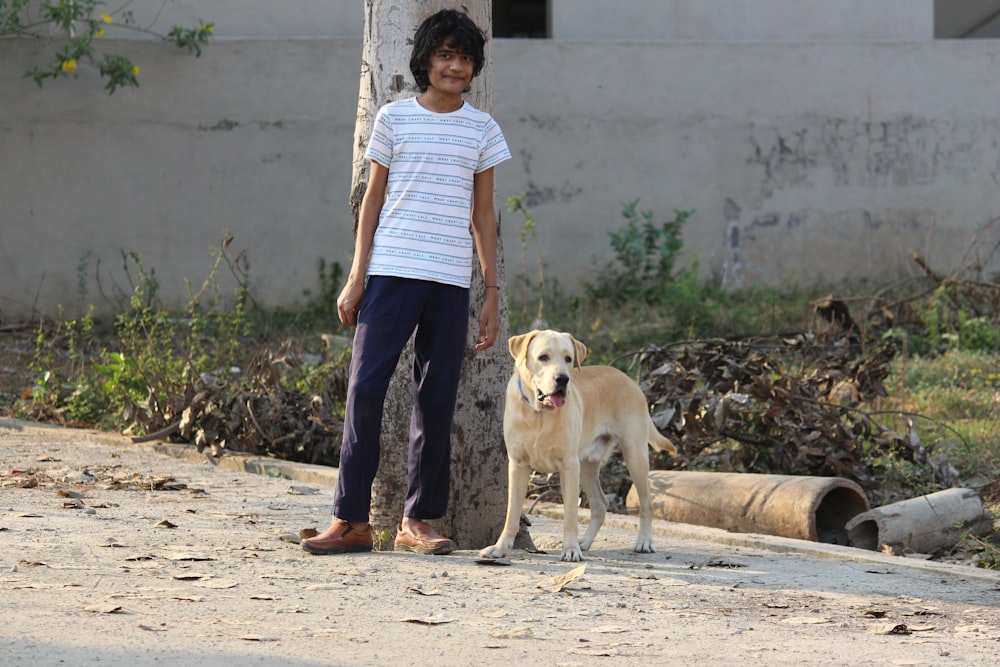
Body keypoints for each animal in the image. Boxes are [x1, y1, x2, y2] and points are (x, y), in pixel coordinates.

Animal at [480, 332, 676, 560]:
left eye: (568, 359)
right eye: (543, 357)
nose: (563, 379)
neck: (540, 414)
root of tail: (628, 379)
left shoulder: (569, 465)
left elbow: (570, 515)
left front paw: (571, 549)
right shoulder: (517, 465)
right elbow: (512, 512)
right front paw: (501, 547)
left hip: (634, 454)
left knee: (646, 502)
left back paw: (644, 541)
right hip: (587, 465)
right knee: (601, 504)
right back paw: (586, 541)